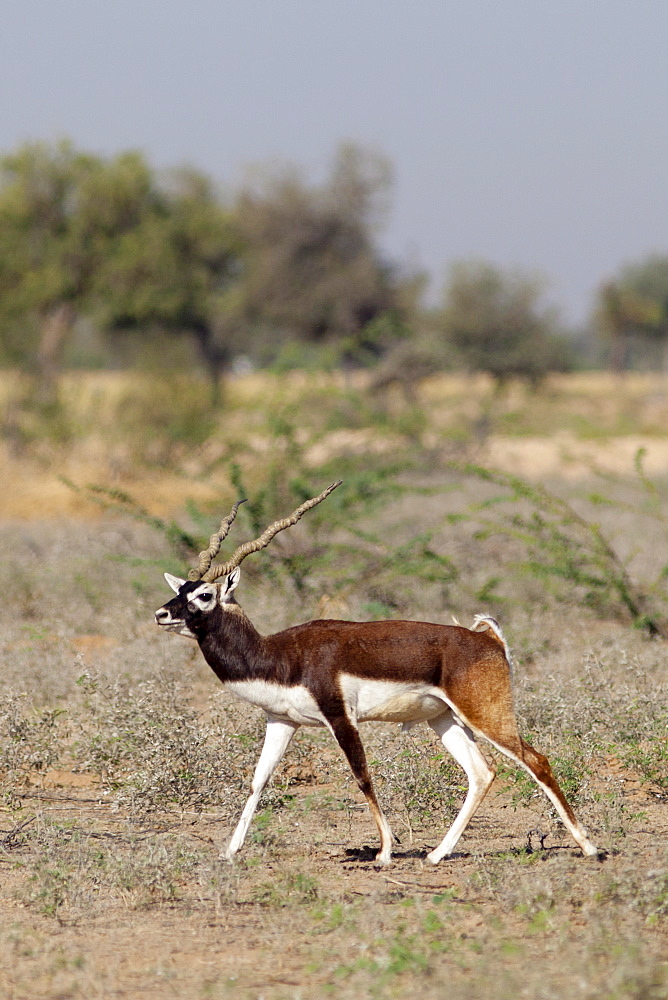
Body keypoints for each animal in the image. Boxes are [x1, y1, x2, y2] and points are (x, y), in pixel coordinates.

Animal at [154, 480, 596, 864]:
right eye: (180, 591)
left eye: (204, 595)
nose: (161, 614)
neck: (279, 655)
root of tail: (489, 640)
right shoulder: (280, 721)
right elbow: (257, 781)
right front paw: (230, 851)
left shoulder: (340, 717)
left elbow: (362, 776)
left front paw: (383, 853)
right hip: (444, 719)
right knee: (482, 773)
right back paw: (436, 855)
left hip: (485, 714)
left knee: (536, 761)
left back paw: (590, 848)